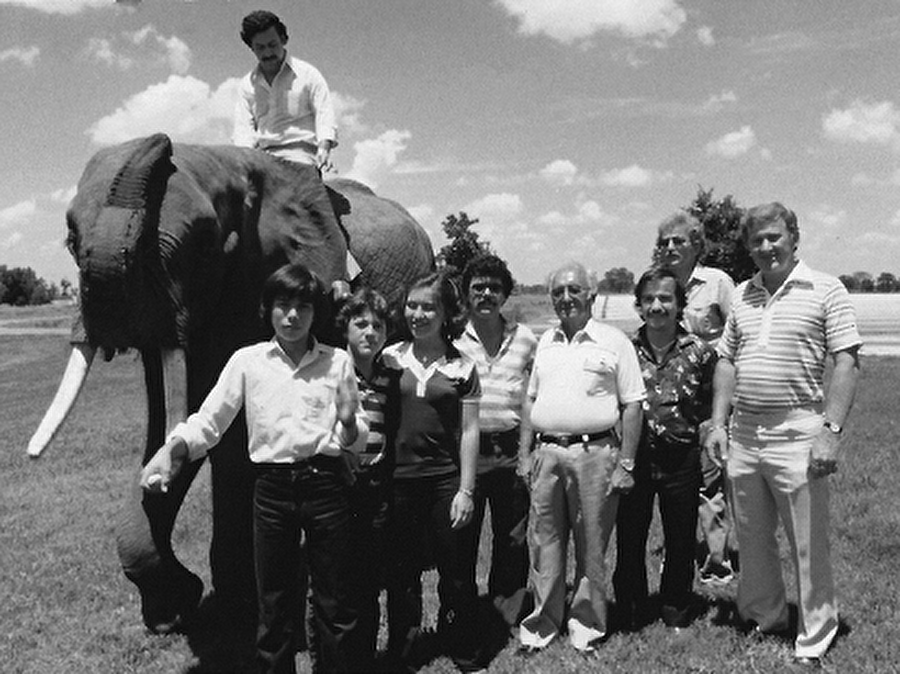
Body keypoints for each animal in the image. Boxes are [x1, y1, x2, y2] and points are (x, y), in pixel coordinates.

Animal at [26, 134, 434, 632]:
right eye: (69, 237)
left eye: (205, 242)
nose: (159, 141)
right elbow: (186, 420)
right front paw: (180, 609)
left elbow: (230, 442)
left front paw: (236, 606)